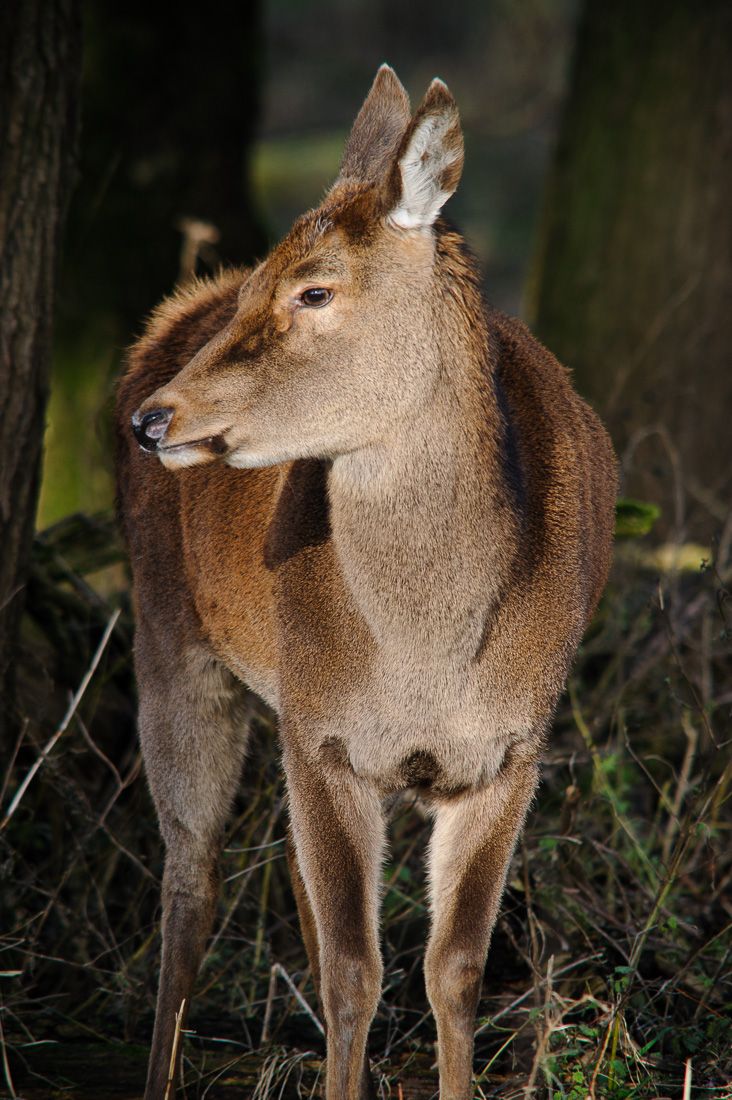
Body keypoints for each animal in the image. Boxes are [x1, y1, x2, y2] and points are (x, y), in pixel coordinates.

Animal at [114, 65, 617, 1100]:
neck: (429, 652)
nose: (151, 418)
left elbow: (453, 965)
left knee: (286, 885)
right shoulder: (328, 735)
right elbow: (356, 967)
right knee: (191, 874)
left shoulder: (511, 750)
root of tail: (166, 320)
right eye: (264, 279)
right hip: (170, 632)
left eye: (316, 288)